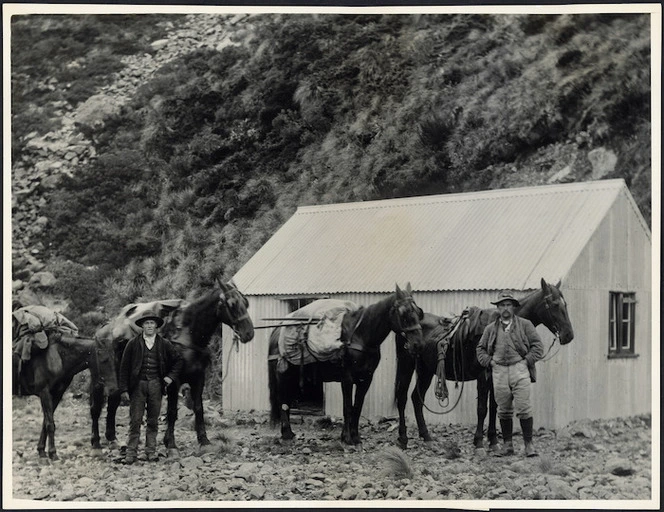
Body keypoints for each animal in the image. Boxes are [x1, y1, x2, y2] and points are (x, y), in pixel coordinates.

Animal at [13, 332, 117, 460]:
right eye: (104, 360)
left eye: (115, 359)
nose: (113, 389)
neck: (57, 358)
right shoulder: (44, 392)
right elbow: (50, 424)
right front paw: (52, 452)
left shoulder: (57, 394)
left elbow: (45, 422)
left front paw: (41, 450)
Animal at [89, 280, 253, 452]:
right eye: (232, 304)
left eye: (245, 302)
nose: (249, 333)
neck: (188, 335)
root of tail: (100, 334)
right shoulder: (174, 382)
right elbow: (172, 411)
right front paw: (171, 443)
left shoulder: (198, 379)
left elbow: (198, 408)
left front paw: (204, 440)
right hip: (100, 381)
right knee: (95, 409)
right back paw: (96, 442)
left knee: (112, 406)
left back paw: (113, 439)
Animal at [268, 282, 422, 446]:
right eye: (404, 313)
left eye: (419, 312)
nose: (418, 344)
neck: (360, 335)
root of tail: (277, 331)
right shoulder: (347, 378)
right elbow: (347, 407)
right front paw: (347, 438)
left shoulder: (366, 378)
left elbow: (357, 406)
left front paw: (355, 436)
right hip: (284, 375)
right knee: (282, 400)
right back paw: (286, 434)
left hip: (293, 377)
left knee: (287, 402)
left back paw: (289, 433)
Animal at [394, 278, 576, 450]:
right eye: (554, 304)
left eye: (565, 304)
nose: (569, 335)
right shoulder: (483, 376)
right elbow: (482, 408)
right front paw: (479, 442)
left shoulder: (496, 377)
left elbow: (494, 407)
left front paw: (493, 440)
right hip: (406, 366)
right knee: (402, 398)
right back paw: (403, 439)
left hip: (426, 370)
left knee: (416, 399)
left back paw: (427, 438)